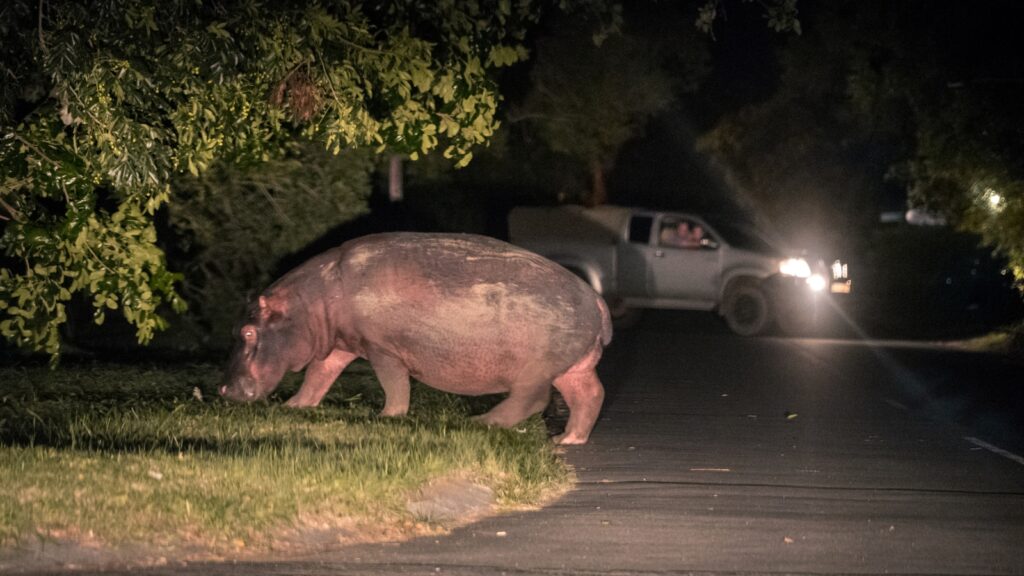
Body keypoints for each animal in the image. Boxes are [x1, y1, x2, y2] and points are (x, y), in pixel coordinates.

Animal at [218, 231, 606, 444]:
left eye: (248, 331)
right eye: (236, 328)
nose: (221, 389)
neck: (309, 302)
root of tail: (597, 300)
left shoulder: (381, 349)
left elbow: (394, 384)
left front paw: (387, 417)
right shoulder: (339, 345)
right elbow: (318, 376)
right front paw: (293, 407)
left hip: (536, 370)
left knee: (533, 400)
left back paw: (481, 423)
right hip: (573, 368)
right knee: (589, 395)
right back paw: (566, 439)